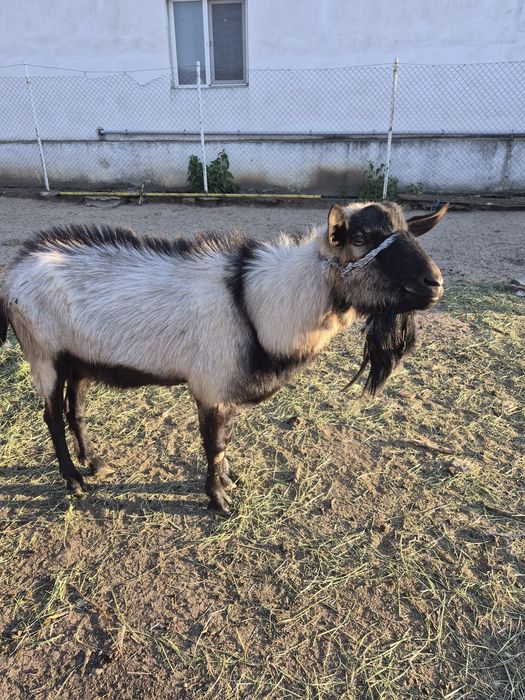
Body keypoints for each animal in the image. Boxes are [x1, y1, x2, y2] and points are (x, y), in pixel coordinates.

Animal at [0, 201, 447, 514]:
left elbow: (226, 441)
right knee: (52, 416)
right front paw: (218, 501)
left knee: (75, 409)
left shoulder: (226, 391)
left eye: (410, 232)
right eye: (361, 239)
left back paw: (93, 462)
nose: (435, 283)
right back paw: (74, 479)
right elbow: (213, 445)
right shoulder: (211, 387)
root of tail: (17, 268)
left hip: (79, 360)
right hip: (45, 357)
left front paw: (228, 482)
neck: (255, 301)